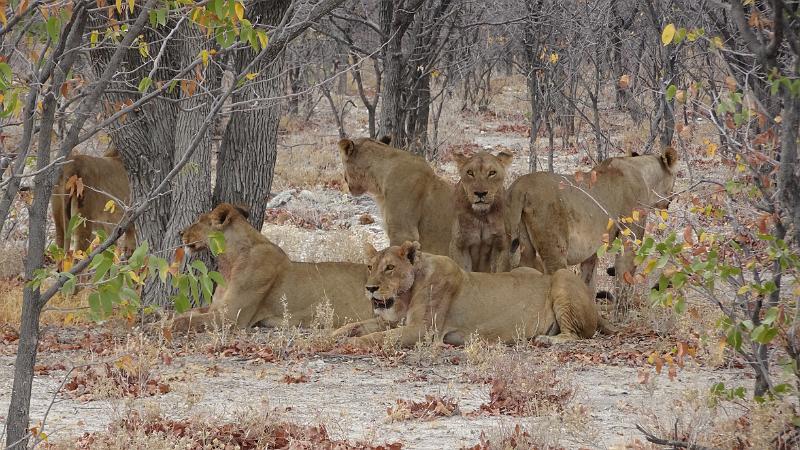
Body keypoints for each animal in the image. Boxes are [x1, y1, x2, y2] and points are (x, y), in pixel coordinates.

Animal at [172, 203, 372, 330]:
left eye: (199, 221)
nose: (180, 232)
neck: (228, 262)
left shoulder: (231, 316)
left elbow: (187, 321)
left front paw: (165, 326)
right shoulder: (217, 307)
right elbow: (185, 313)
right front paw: (167, 315)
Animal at [332, 241, 612, 346]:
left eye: (390, 268)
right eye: (371, 267)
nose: (370, 288)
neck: (404, 296)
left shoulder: (423, 330)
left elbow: (378, 337)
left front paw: (351, 344)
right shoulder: (394, 320)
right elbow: (357, 325)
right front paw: (332, 335)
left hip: (563, 277)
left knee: (577, 335)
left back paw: (545, 339)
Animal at [506, 149, 676, 302]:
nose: (672, 200)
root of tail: (520, 187)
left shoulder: (592, 252)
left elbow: (589, 284)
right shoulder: (630, 234)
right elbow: (624, 276)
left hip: (523, 247)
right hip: (555, 250)